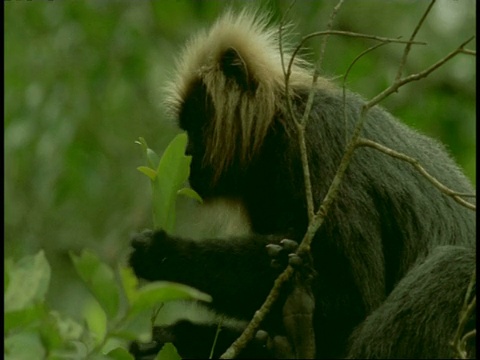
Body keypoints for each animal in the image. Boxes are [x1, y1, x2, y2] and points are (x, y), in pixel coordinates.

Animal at [127, 8, 476, 360]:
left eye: (194, 124)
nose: (186, 152)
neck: (276, 130)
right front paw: (172, 338)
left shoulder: (318, 143)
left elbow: (354, 298)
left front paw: (166, 254)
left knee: (457, 264)